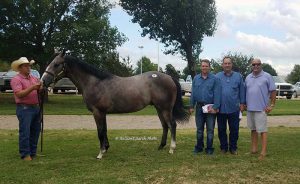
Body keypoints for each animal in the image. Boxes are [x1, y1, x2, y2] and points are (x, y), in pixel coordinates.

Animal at [40, 52, 189, 160]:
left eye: (57, 64)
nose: (43, 81)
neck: (95, 82)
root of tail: (169, 77)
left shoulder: (97, 112)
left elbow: (100, 132)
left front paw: (100, 153)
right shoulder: (102, 113)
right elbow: (104, 130)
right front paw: (106, 148)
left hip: (165, 108)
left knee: (172, 125)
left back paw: (171, 149)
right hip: (159, 108)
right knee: (165, 126)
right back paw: (161, 146)